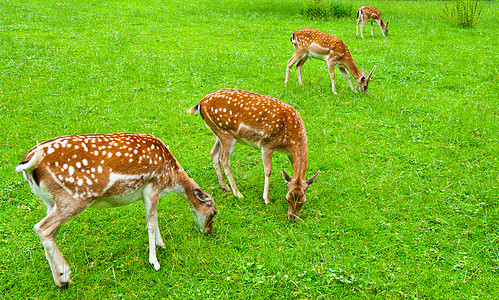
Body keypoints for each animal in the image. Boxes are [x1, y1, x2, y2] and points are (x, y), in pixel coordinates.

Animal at [16, 132, 216, 288]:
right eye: (213, 212)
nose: (209, 232)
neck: (170, 178)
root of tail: (29, 164)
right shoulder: (153, 186)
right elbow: (151, 222)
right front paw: (155, 261)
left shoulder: (148, 193)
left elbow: (154, 217)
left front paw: (161, 244)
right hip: (73, 199)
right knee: (41, 228)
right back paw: (65, 274)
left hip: (50, 202)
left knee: (49, 233)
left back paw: (59, 279)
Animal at [186, 89, 318, 220]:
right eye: (287, 198)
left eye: (303, 201)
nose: (292, 218)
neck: (290, 141)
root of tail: (201, 103)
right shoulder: (267, 144)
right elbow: (268, 171)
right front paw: (266, 199)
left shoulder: (289, 153)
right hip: (226, 134)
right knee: (224, 159)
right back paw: (238, 193)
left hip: (220, 133)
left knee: (214, 153)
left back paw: (224, 186)